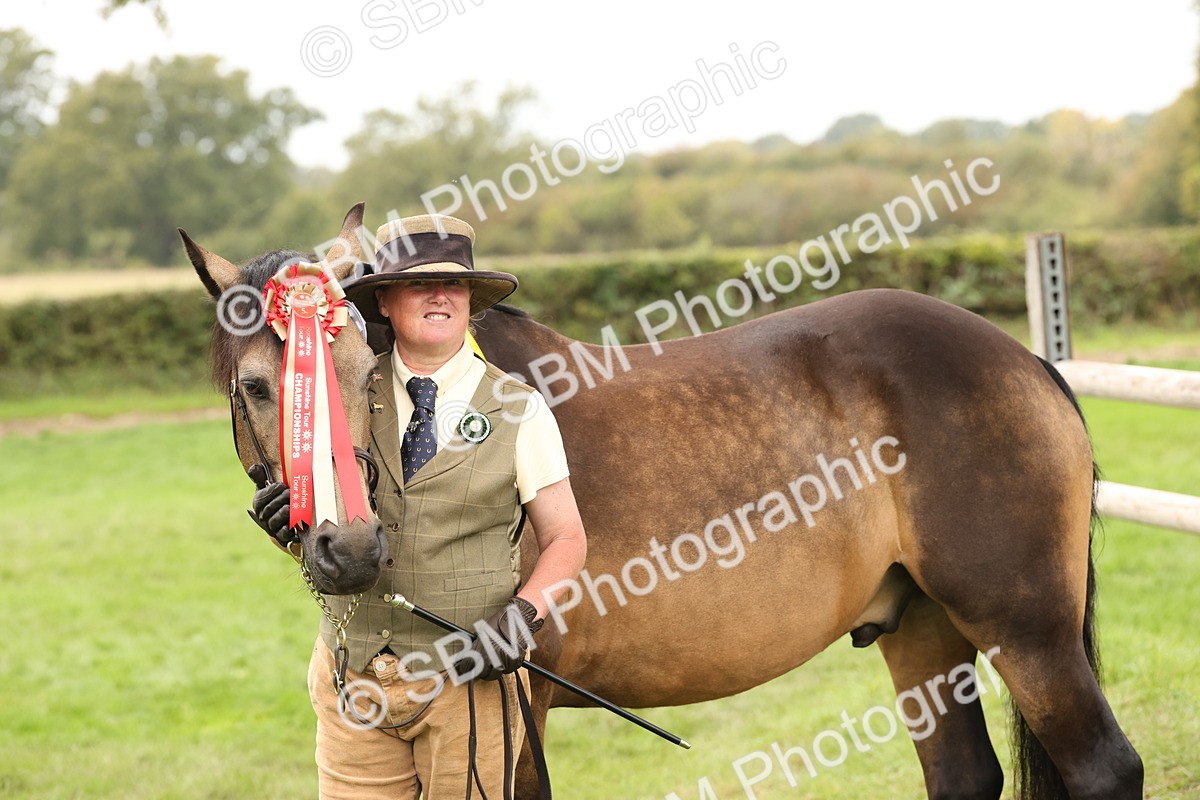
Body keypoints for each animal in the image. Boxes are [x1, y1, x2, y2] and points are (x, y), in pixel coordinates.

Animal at [184, 207, 1142, 800]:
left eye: (364, 375)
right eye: (260, 387)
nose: (349, 550)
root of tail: (1020, 358)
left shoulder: (516, 709)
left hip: (1027, 630)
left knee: (1104, 768)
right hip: (924, 630)